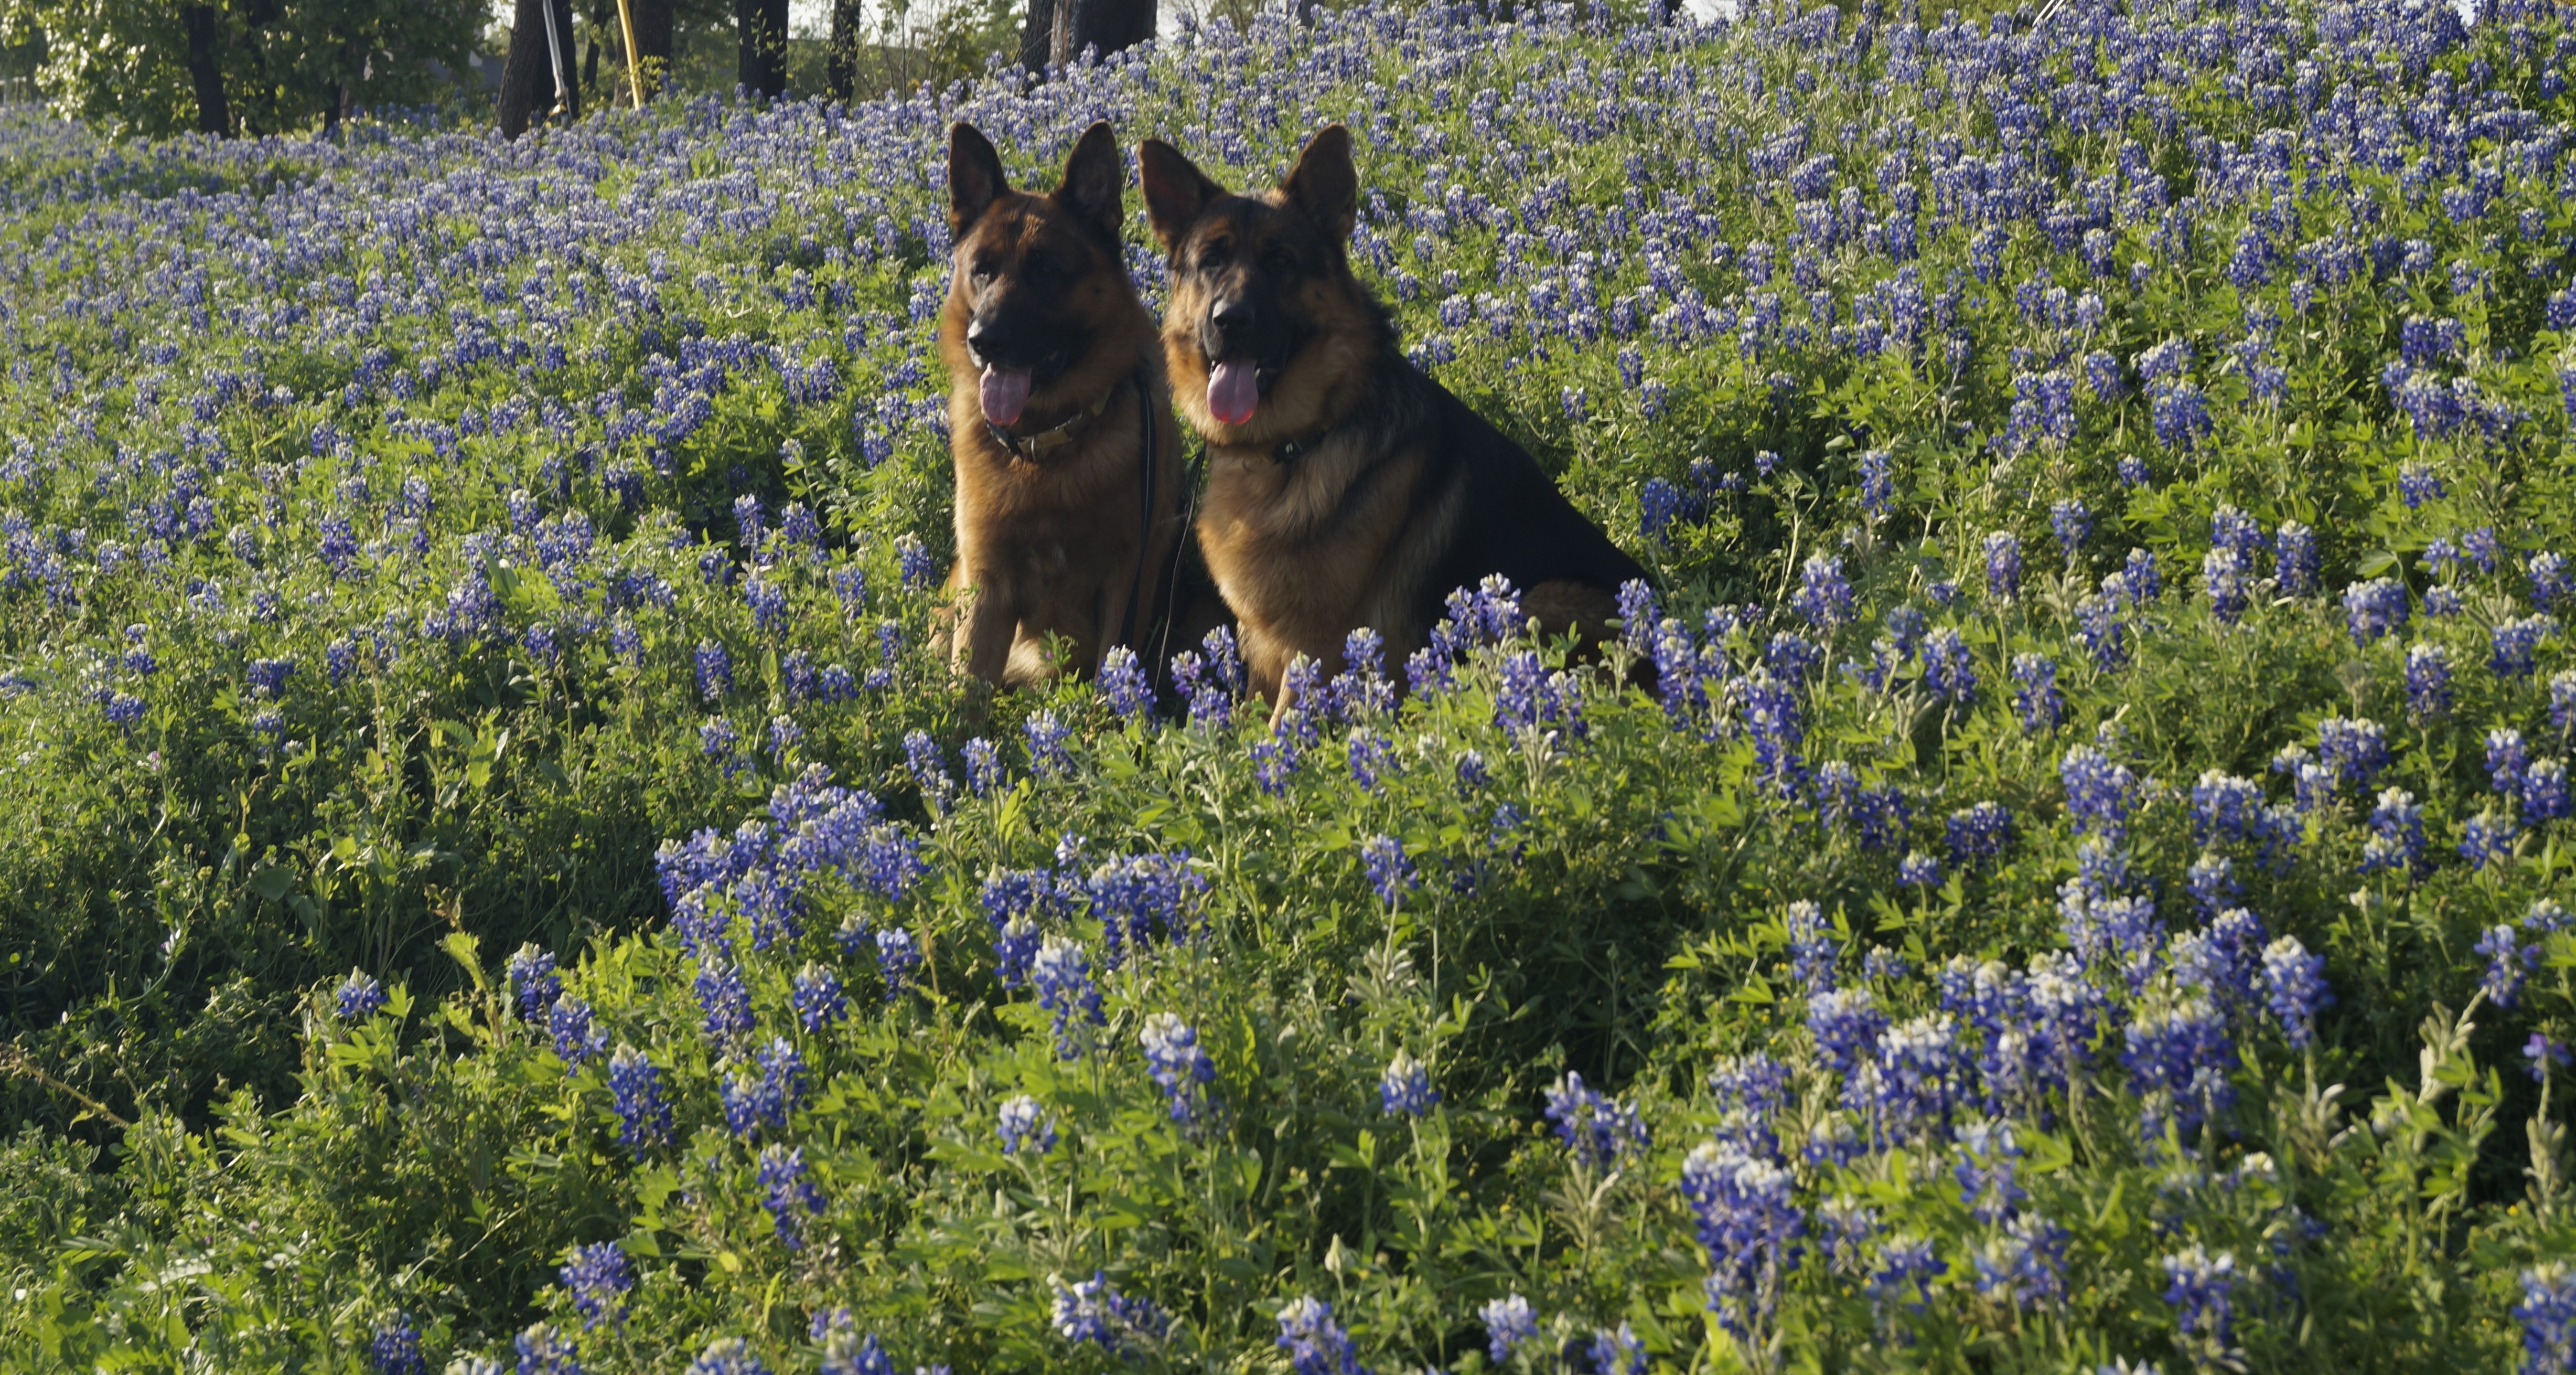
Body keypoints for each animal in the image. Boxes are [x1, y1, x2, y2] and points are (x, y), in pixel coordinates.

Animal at [942, 121, 1190, 690]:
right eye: (981, 270)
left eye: (1044, 269)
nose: (983, 340)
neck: (1046, 443)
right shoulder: (985, 580)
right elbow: (964, 691)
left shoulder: (1129, 570)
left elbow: (1112, 678)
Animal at [1139, 121, 1638, 710]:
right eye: (1210, 261)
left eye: (1279, 260)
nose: (1229, 319)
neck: (1290, 448)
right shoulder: (1259, 638)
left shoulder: (1316, 643)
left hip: (1540, 601)